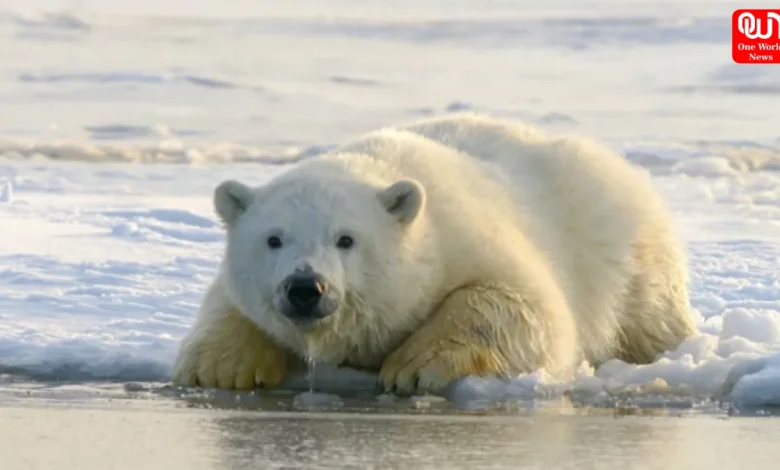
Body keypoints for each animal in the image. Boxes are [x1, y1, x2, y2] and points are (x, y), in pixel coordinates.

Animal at [171, 112, 697, 395]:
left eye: (346, 239)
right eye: (273, 239)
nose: (305, 288)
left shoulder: (466, 237)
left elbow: (526, 306)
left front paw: (412, 367)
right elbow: (225, 302)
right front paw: (222, 369)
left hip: (626, 252)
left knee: (650, 315)